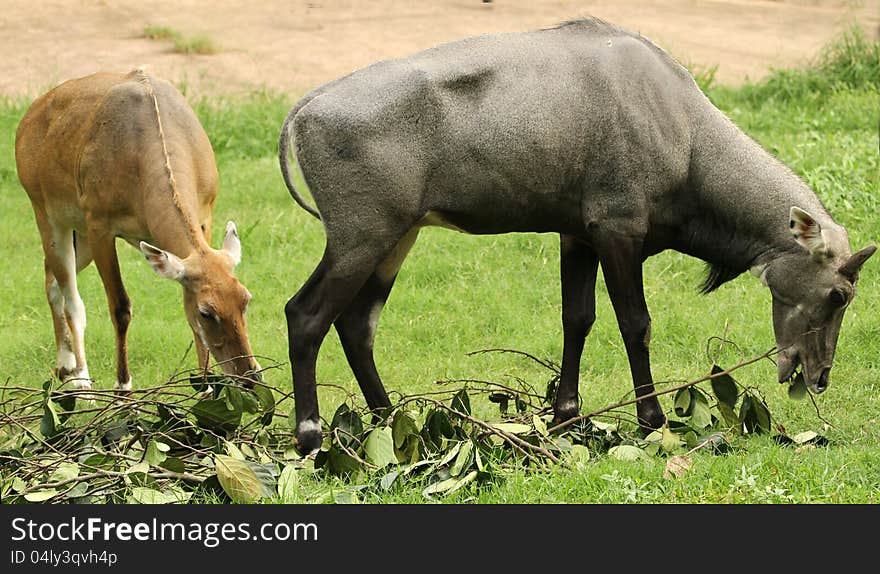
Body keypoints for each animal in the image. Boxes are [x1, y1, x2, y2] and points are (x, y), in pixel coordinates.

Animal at [16, 66, 258, 392]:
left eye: (245, 299)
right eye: (207, 312)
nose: (250, 377)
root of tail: (30, 116)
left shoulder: (205, 218)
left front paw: (206, 389)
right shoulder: (101, 226)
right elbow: (120, 307)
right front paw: (123, 391)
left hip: (80, 238)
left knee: (50, 279)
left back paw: (64, 368)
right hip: (49, 216)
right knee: (72, 298)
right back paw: (81, 382)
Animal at [280, 20, 872, 456]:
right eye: (838, 293)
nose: (819, 376)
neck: (685, 133)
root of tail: (304, 110)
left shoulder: (576, 237)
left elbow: (577, 318)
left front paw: (567, 417)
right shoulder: (617, 230)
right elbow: (635, 323)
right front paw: (652, 420)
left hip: (396, 238)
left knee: (357, 323)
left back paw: (392, 421)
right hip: (361, 237)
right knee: (306, 314)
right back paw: (310, 436)